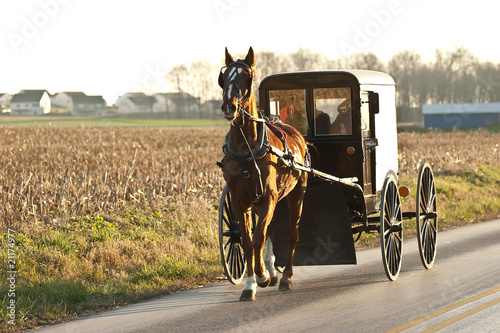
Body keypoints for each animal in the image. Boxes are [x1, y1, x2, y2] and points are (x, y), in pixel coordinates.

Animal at [220, 45, 308, 300]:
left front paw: (262, 276)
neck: (245, 150)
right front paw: (251, 283)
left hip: (296, 193)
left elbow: (258, 238)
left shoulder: (268, 196)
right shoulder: (240, 200)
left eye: (246, 76)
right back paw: (272, 268)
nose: (229, 107)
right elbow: (248, 241)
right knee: (271, 228)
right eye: (224, 77)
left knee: (291, 233)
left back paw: (286, 276)